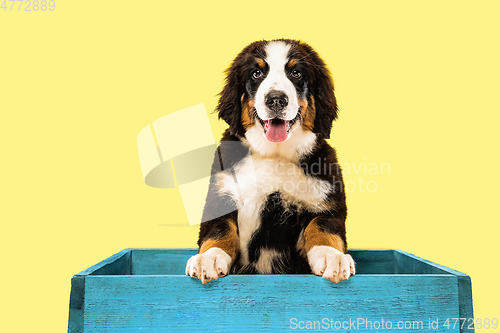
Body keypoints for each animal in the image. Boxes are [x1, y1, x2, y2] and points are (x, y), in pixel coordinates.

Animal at [187, 38, 356, 282]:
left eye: (296, 73)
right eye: (257, 73)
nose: (276, 99)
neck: (274, 155)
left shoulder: (327, 201)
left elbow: (323, 228)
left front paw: (332, 256)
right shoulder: (220, 197)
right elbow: (219, 231)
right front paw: (208, 258)